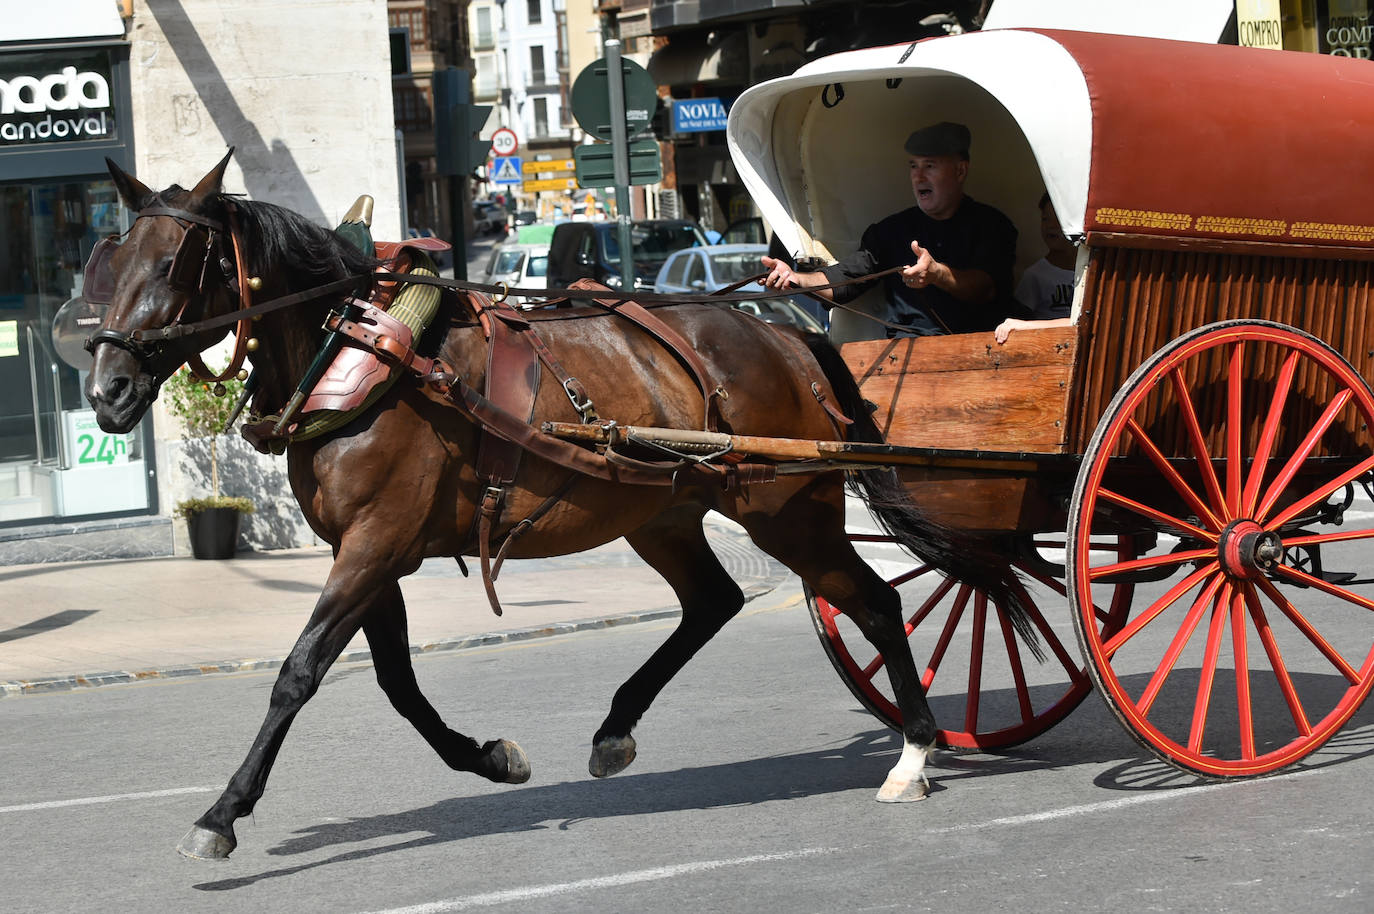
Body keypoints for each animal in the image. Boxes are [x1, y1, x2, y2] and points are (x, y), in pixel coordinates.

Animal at [84, 153, 1034, 860]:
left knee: (873, 604)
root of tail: (783, 332)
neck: (360, 352)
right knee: (717, 601)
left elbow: (300, 672)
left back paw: (914, 751)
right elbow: (394, 682)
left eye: (172, 265)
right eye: (106, 265)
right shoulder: (371, 550)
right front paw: (488, 758)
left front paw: (223, 812)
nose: (107, 391)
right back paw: (619, 727)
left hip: (787, 510)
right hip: (663, 514)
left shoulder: (376, 541)